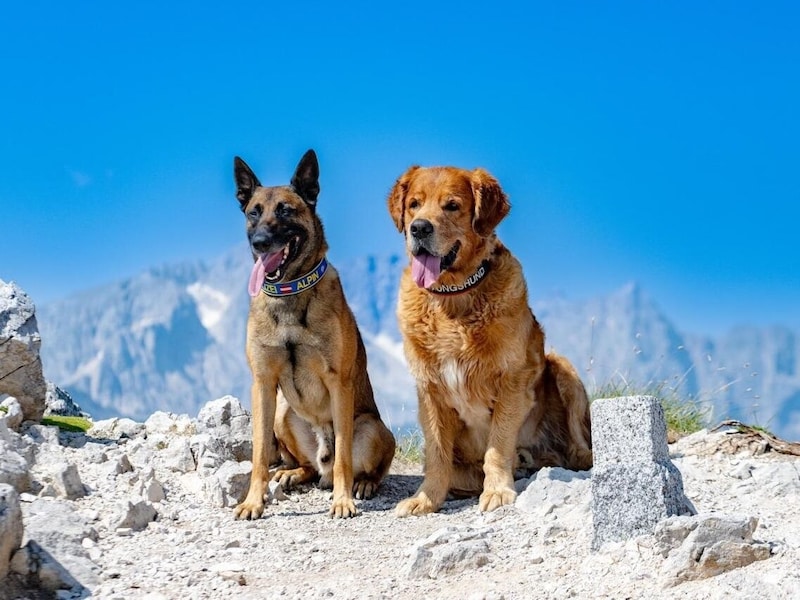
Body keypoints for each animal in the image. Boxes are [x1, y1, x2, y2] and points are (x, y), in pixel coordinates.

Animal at [231, 151, 394, 520]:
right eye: (253, 212)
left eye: (286, 211)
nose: (260, 242)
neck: (289, 291)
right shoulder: (263, 383)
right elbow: (259, 455)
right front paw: (253, 501)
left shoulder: (339, 382)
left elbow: (345, 457)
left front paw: (342, 500)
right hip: (282, 412)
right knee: (306, 465)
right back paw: (292, 473)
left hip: (373, 428)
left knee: (358, 465)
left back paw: (362, 485)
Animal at [388, 163, 592, 516]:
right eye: (414, 204)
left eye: (452, 206)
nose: (419, 229)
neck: (453, 297)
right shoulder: (429, 388)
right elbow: (437, 455)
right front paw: (425, 499)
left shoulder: (512, 380)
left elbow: (497, 445)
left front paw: (497, 491)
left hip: (563, 369)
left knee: (579, 447)